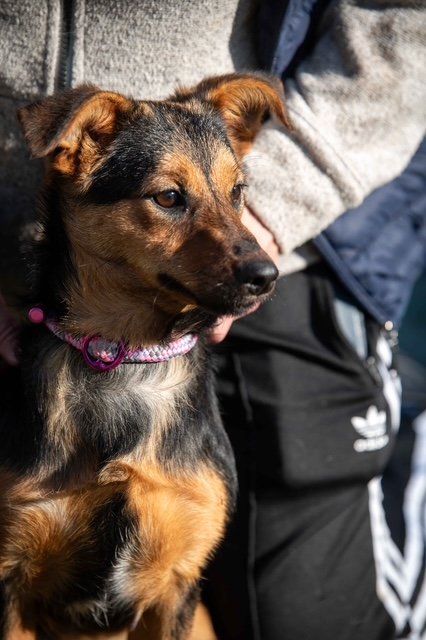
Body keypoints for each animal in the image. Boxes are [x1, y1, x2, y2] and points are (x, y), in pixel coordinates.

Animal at [0, 73, 290, 639]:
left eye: (238, 193)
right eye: (169, 197)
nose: (266, 276)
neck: (126, 356)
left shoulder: (178, 581)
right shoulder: (11, 575)